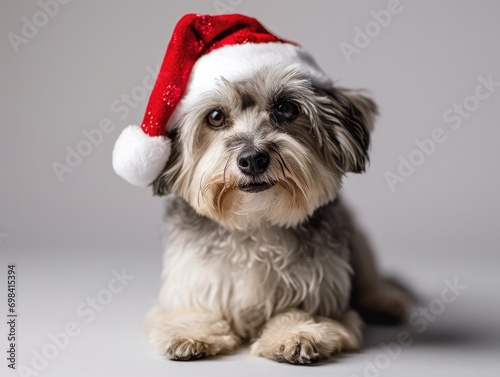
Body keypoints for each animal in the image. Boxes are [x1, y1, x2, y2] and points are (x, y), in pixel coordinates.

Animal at [113, 13, 410, 362]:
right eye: (215, 116)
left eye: (286, 108)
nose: (253, 159)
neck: (255, 222)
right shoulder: (191, 281)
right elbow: (192, 309)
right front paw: (191, 331)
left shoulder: (322, 289)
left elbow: (305, 312)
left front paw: (296, 332)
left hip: (358, 241)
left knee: (371, 279)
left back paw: (386, 299)